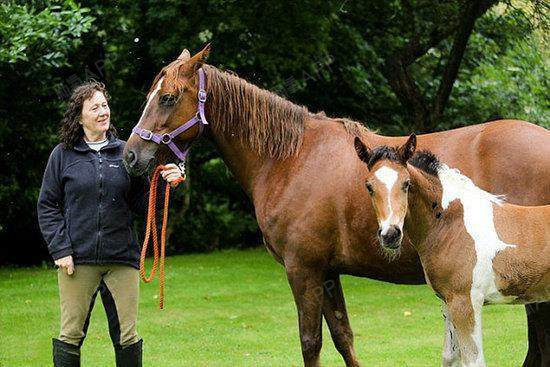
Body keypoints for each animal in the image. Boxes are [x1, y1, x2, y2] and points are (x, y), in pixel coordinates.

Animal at [356, 136, 548, 367]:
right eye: (369, 186)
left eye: (406, 184)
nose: (390, 234)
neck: (451, 223)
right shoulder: (447, 303)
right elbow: (450, 356)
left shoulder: (465, 303)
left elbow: (473, 359)